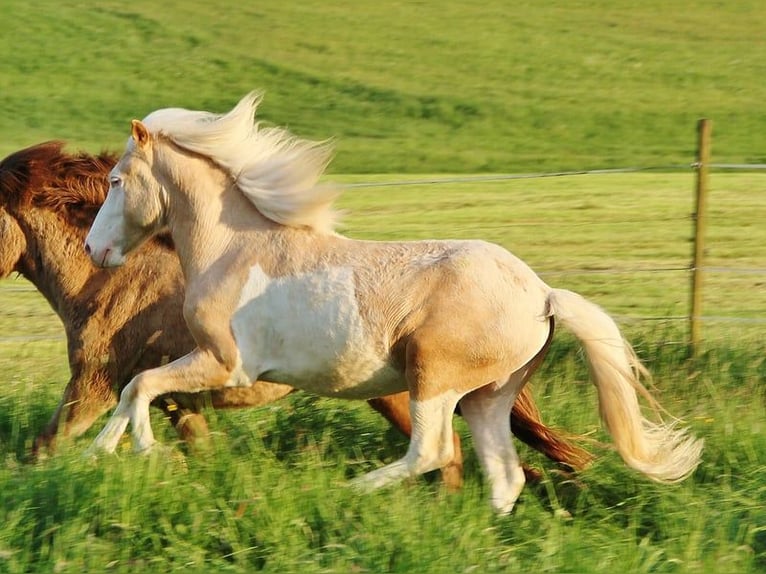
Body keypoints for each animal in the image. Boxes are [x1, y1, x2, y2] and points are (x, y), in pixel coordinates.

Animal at [87, 94, 704, 516]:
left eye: (116, 181)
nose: (95, 250)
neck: (235, 250)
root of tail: (543, 294)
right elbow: (134, 388)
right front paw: (102, 454)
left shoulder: (226, 364)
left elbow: (140, 385)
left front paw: (141, 452)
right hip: (488, 396)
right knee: (503, 475)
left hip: (434, 378)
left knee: (432, 451)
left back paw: (350, 492)